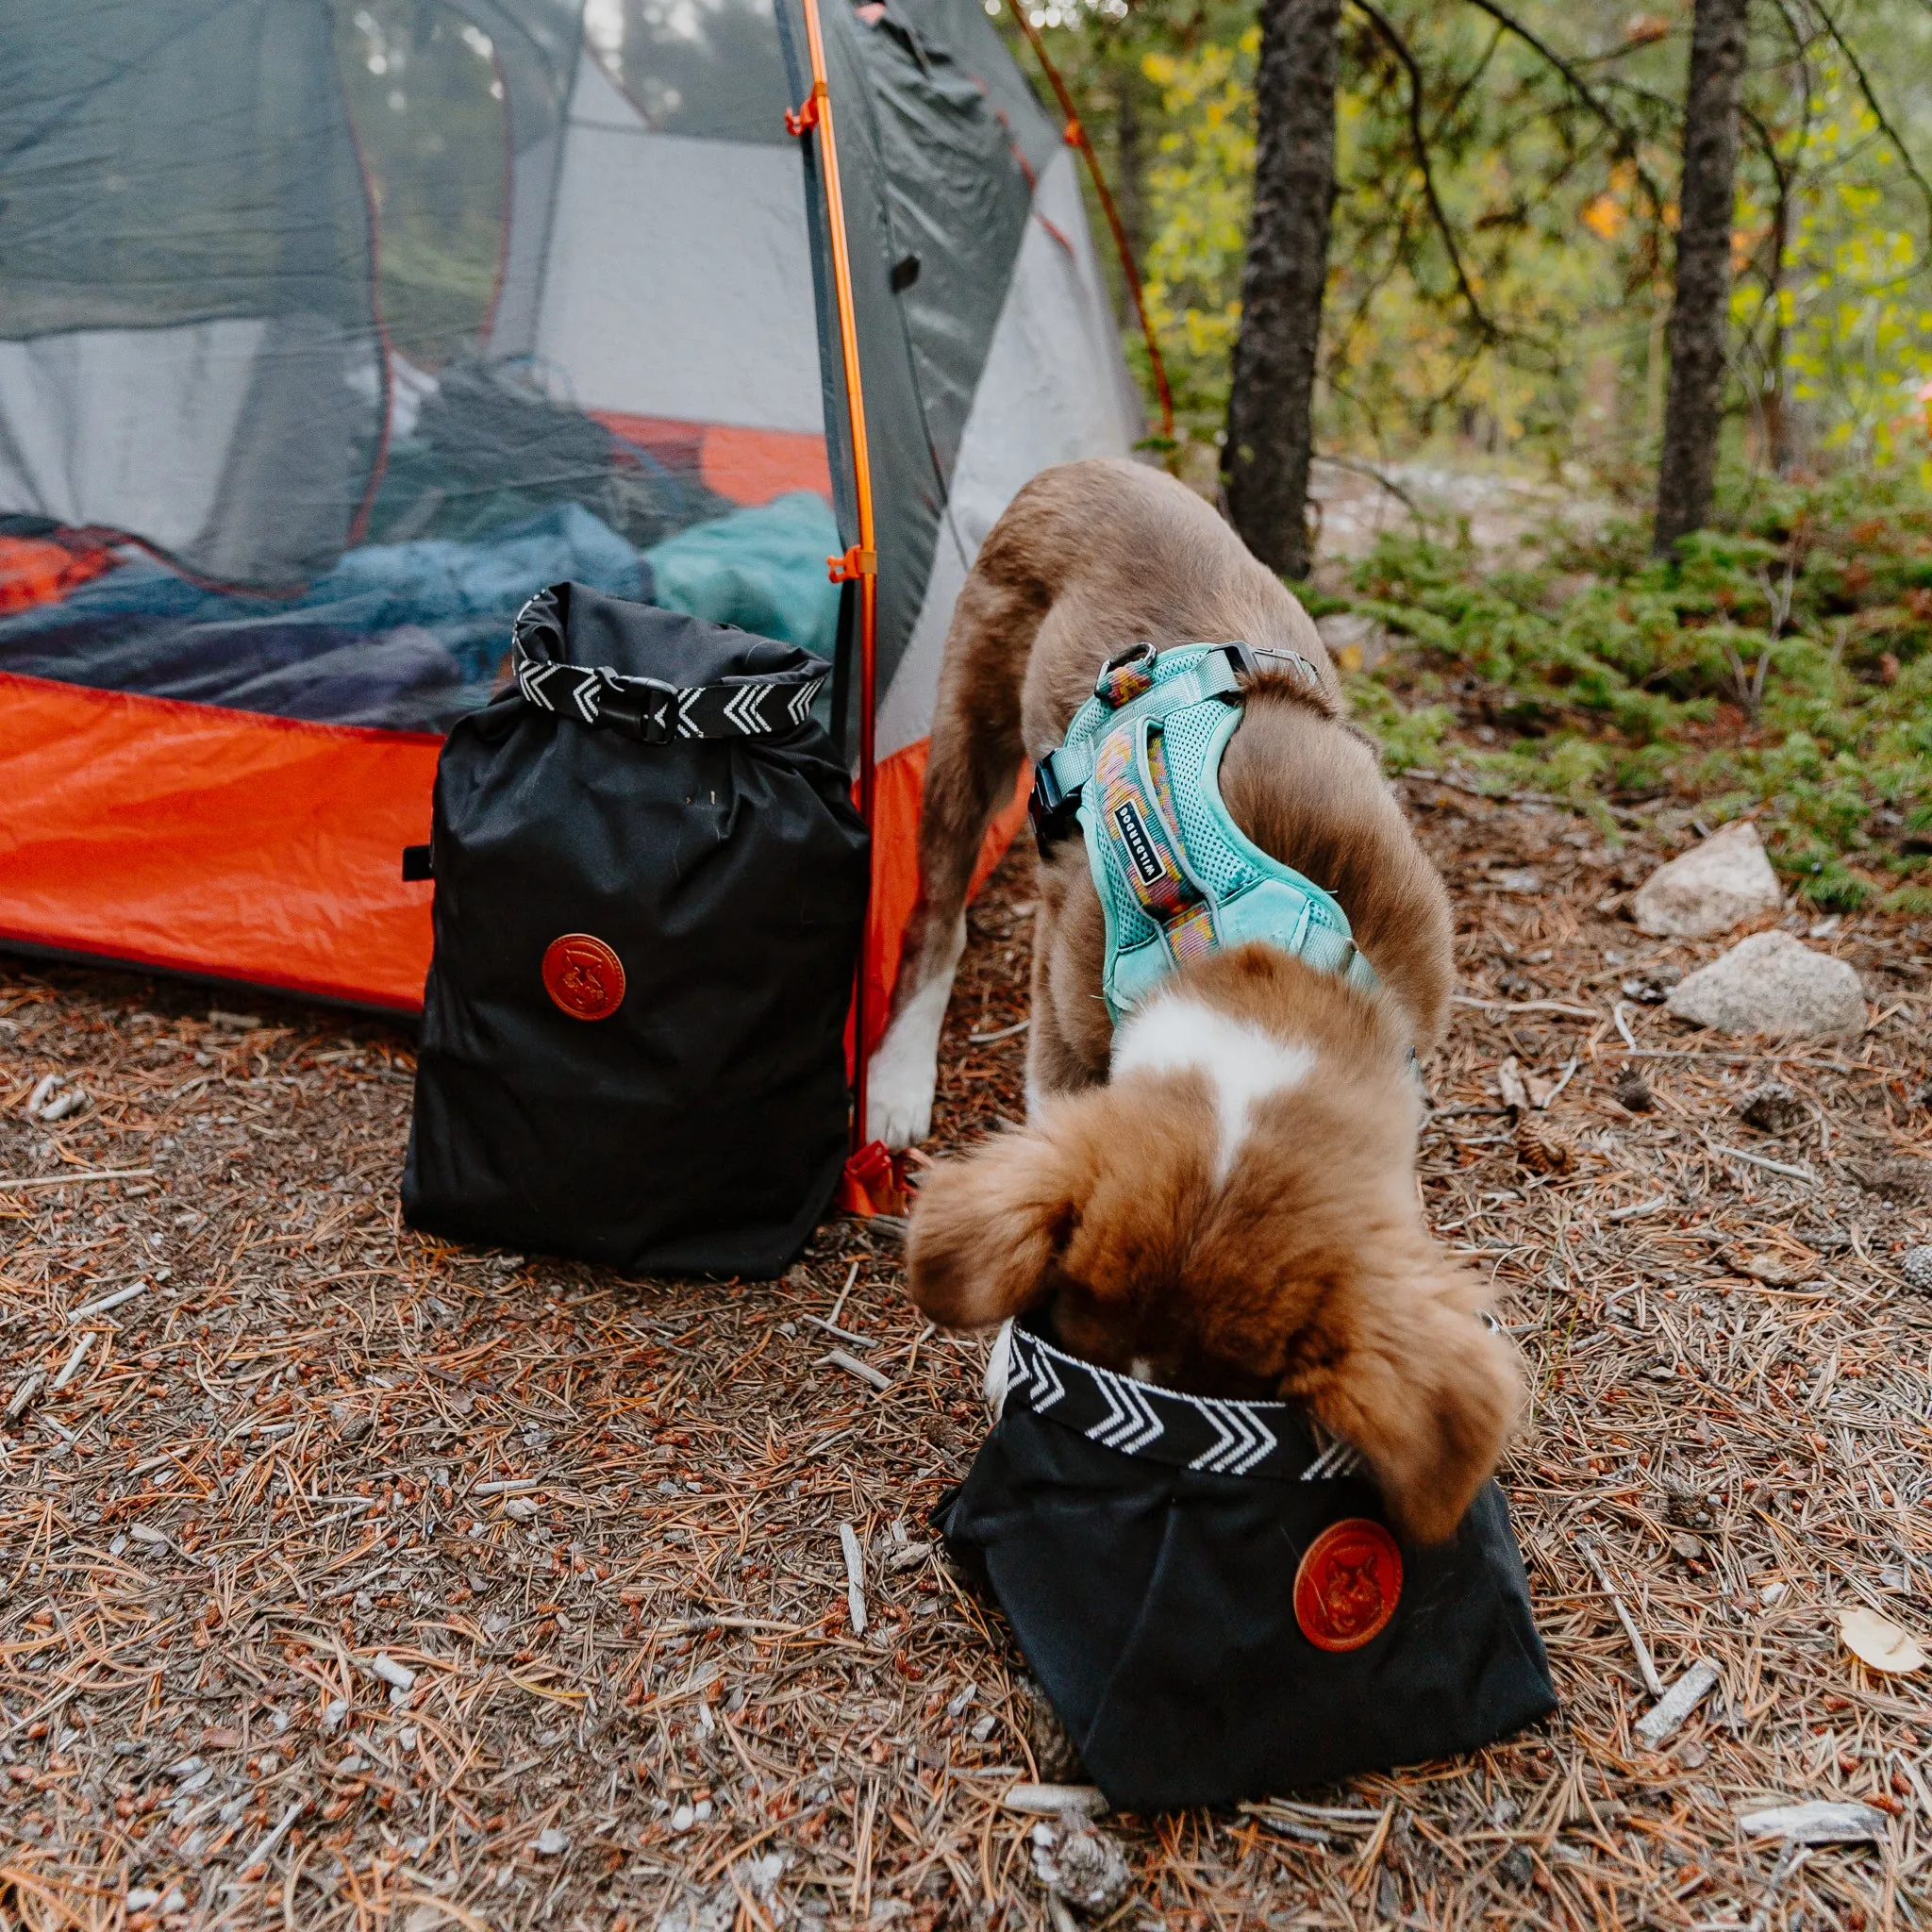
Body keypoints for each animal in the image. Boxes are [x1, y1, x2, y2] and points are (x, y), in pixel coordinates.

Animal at [876, 456, 1522, 1538]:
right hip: (968, 719)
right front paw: (1009, 1358)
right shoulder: (1065, 1014)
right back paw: (893, 1081)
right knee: (937, 917)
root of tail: (1077, 466)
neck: (1256, 955)